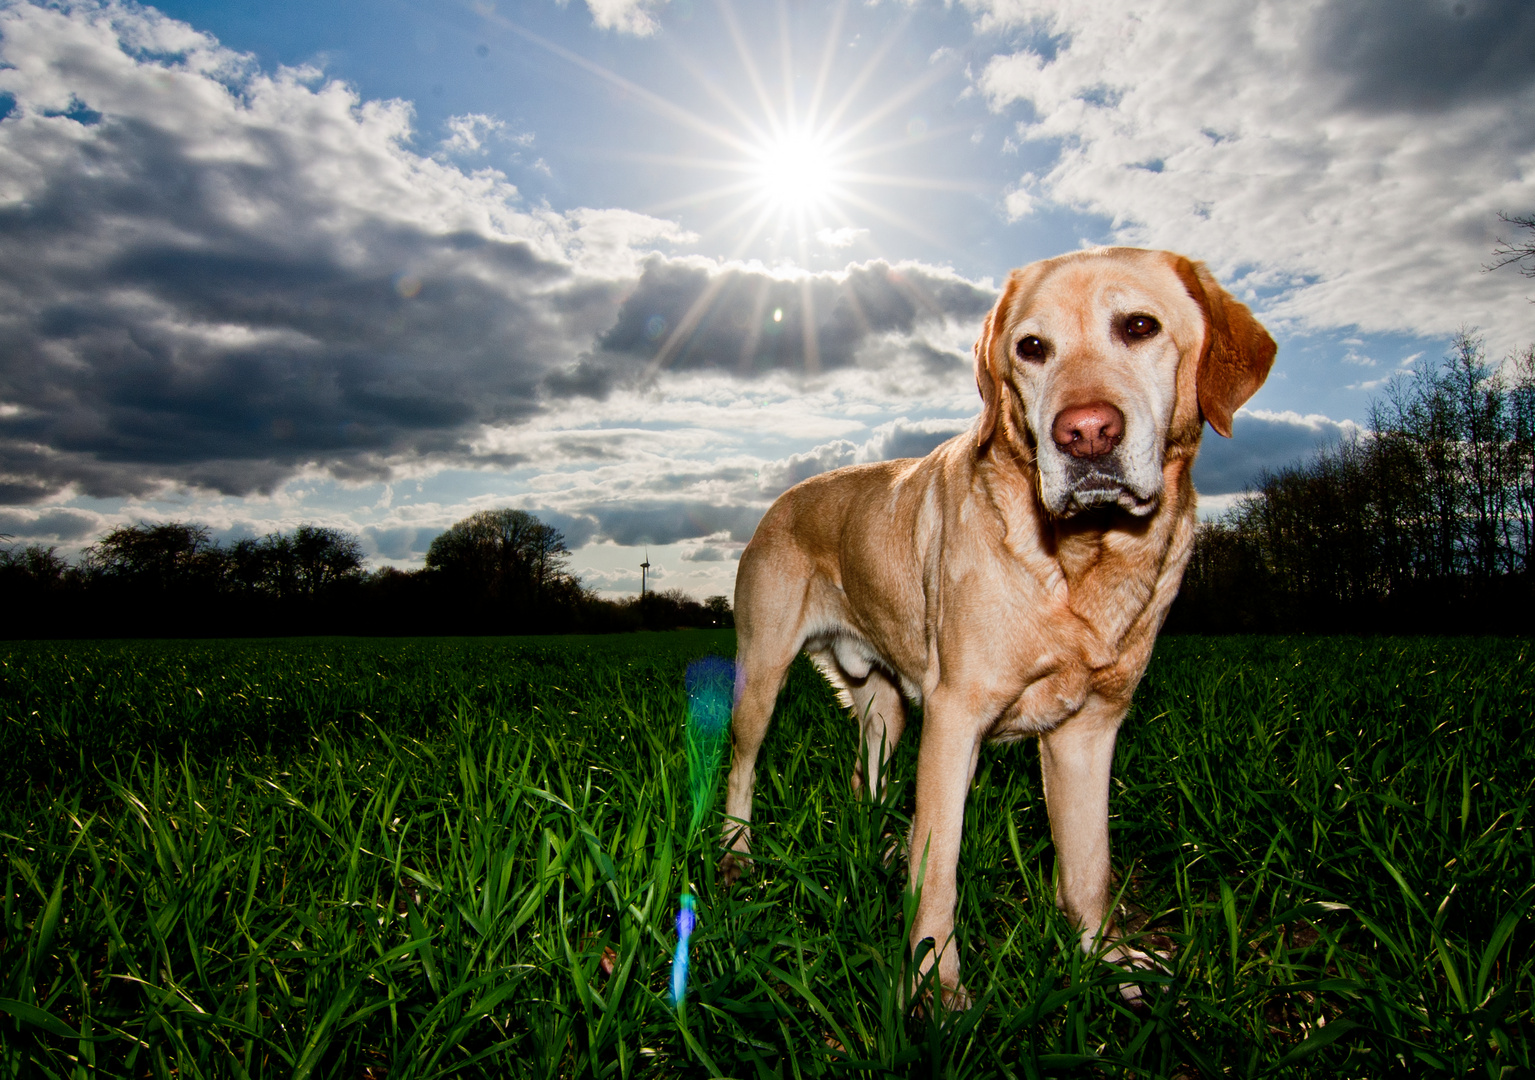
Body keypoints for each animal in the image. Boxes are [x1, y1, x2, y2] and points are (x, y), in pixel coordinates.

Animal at [724, 245, 1277, 1006]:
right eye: (1031, 348)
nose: (1085, 432)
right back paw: (736, 857)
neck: (1082, 556)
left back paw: (877, 846)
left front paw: (1105, 959)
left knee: (865, 778)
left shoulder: (1090, 730)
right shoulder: (955, 716)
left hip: (886, 706)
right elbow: (940, 871)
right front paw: (934, 987)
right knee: (741, 767)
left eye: (1139, 326)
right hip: (765, 675)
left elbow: (1087, 866)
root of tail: (780, 499)